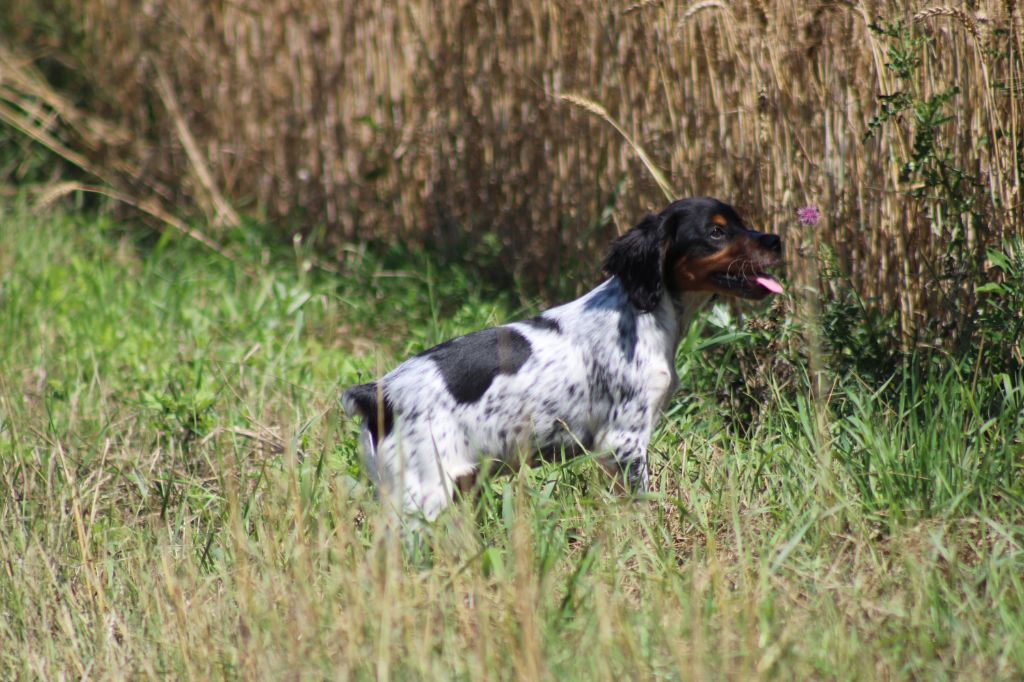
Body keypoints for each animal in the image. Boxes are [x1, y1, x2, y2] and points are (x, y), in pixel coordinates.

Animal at [344, 197, 782, 520]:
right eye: (716, 231)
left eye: (741, 223)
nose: (776, 239)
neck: (642, 311)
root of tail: (377, 394)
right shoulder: (623, 440)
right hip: (423, 491)